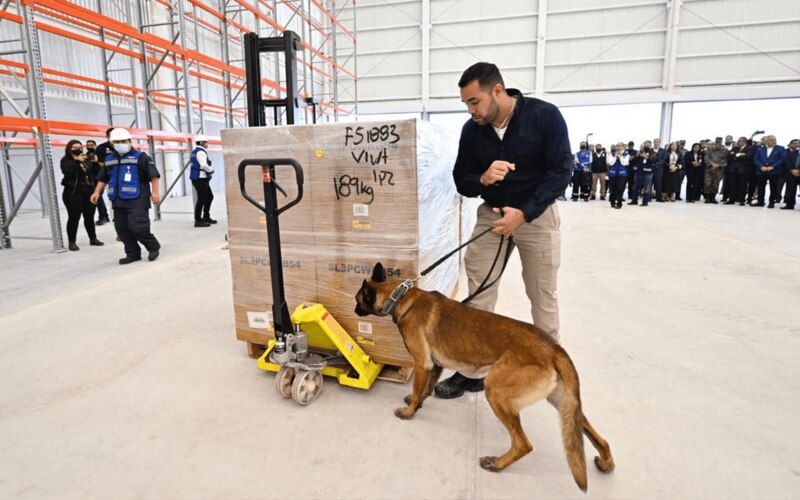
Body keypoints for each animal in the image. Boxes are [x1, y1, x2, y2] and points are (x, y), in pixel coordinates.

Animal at [354, 264, 616, 490]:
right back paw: (606, 462)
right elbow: (425, 389)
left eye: (357, 300)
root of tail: (554, 348)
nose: (353, 309)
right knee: (597, 436)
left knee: (523, 444)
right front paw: (415, 403)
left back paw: (497, 463)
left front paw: (409, 413)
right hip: (563, 403)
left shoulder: (422, 363)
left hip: (496, 392)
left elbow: (419, 387)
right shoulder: (435, 365)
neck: (399, 296)